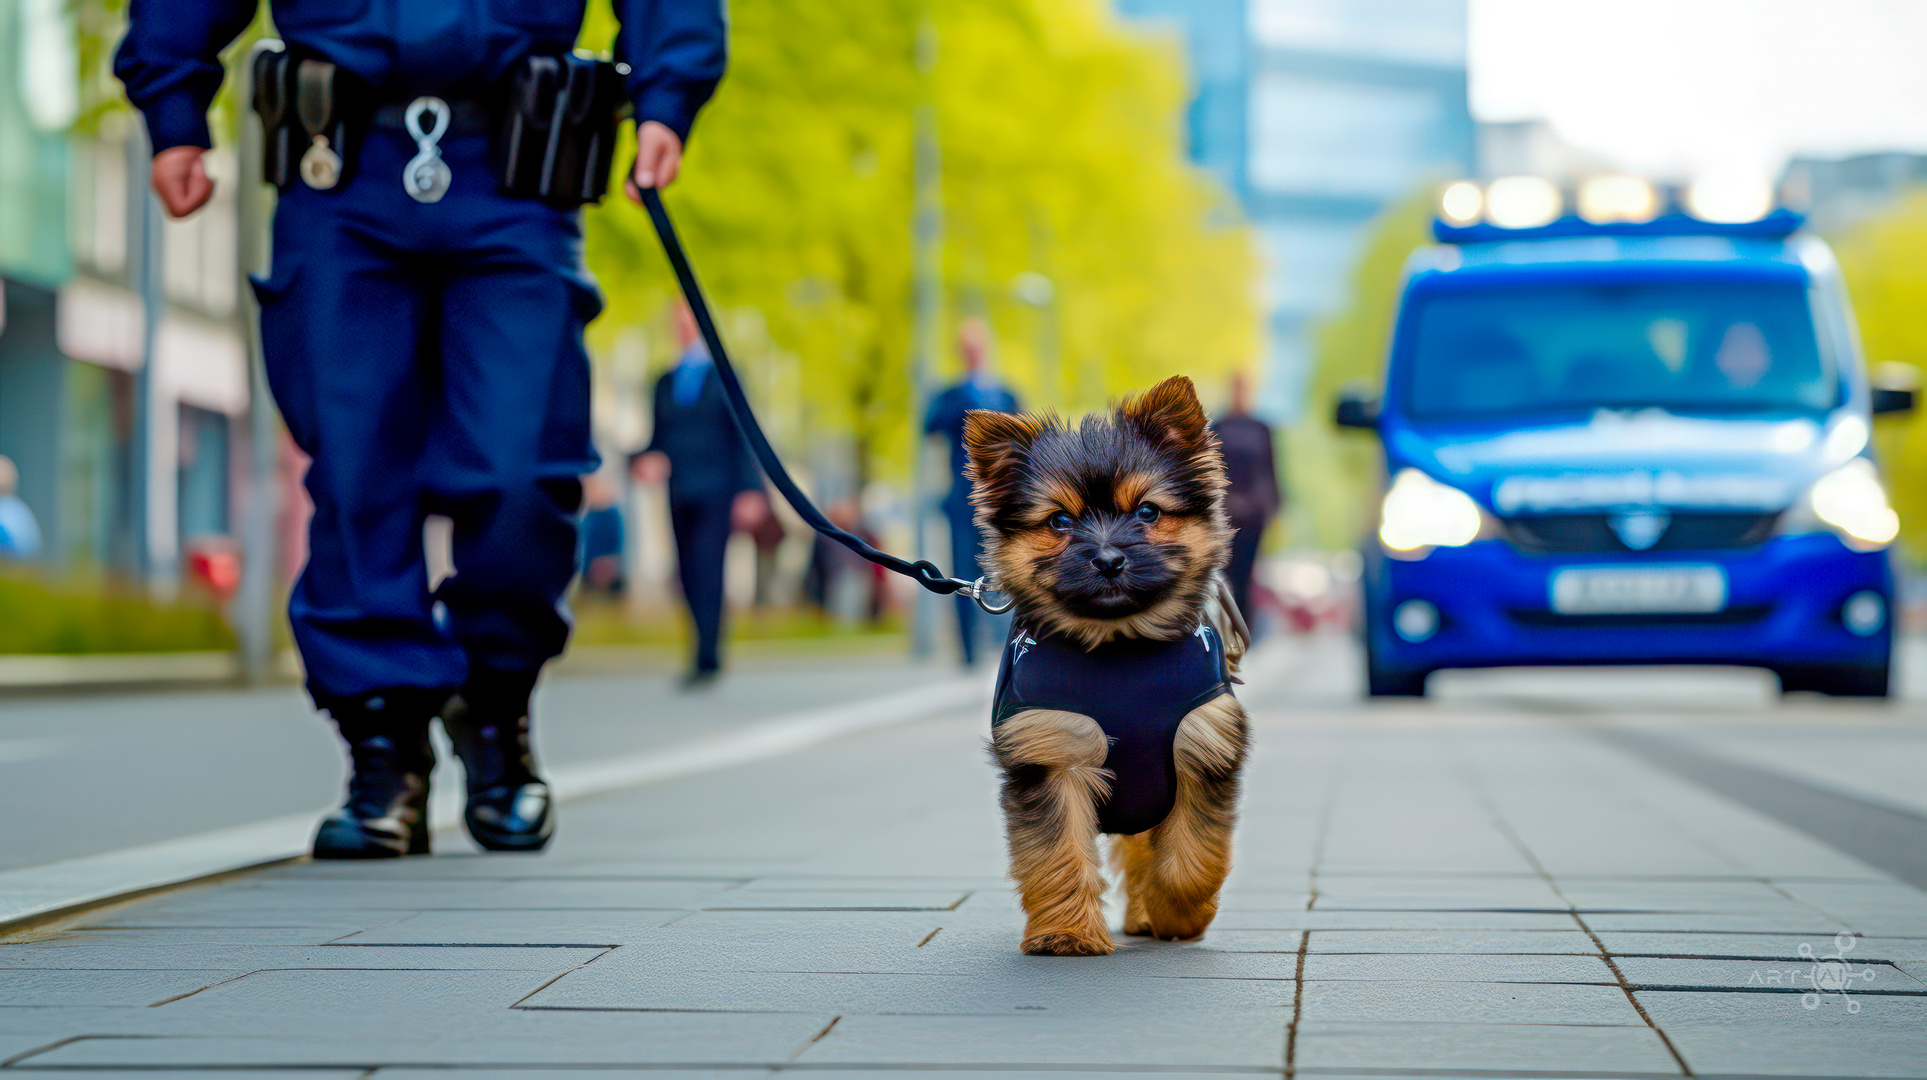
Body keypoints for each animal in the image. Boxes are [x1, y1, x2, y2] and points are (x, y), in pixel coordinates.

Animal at [963, 376, 1248, 956]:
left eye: (1147, 512)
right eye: (1059, 521)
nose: (1110, 559)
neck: (1118, 644)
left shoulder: (1202, 744)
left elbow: (1189, 857)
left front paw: (1179, 915)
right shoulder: (1051, 748)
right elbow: (1056, 854)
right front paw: (1066, 934)